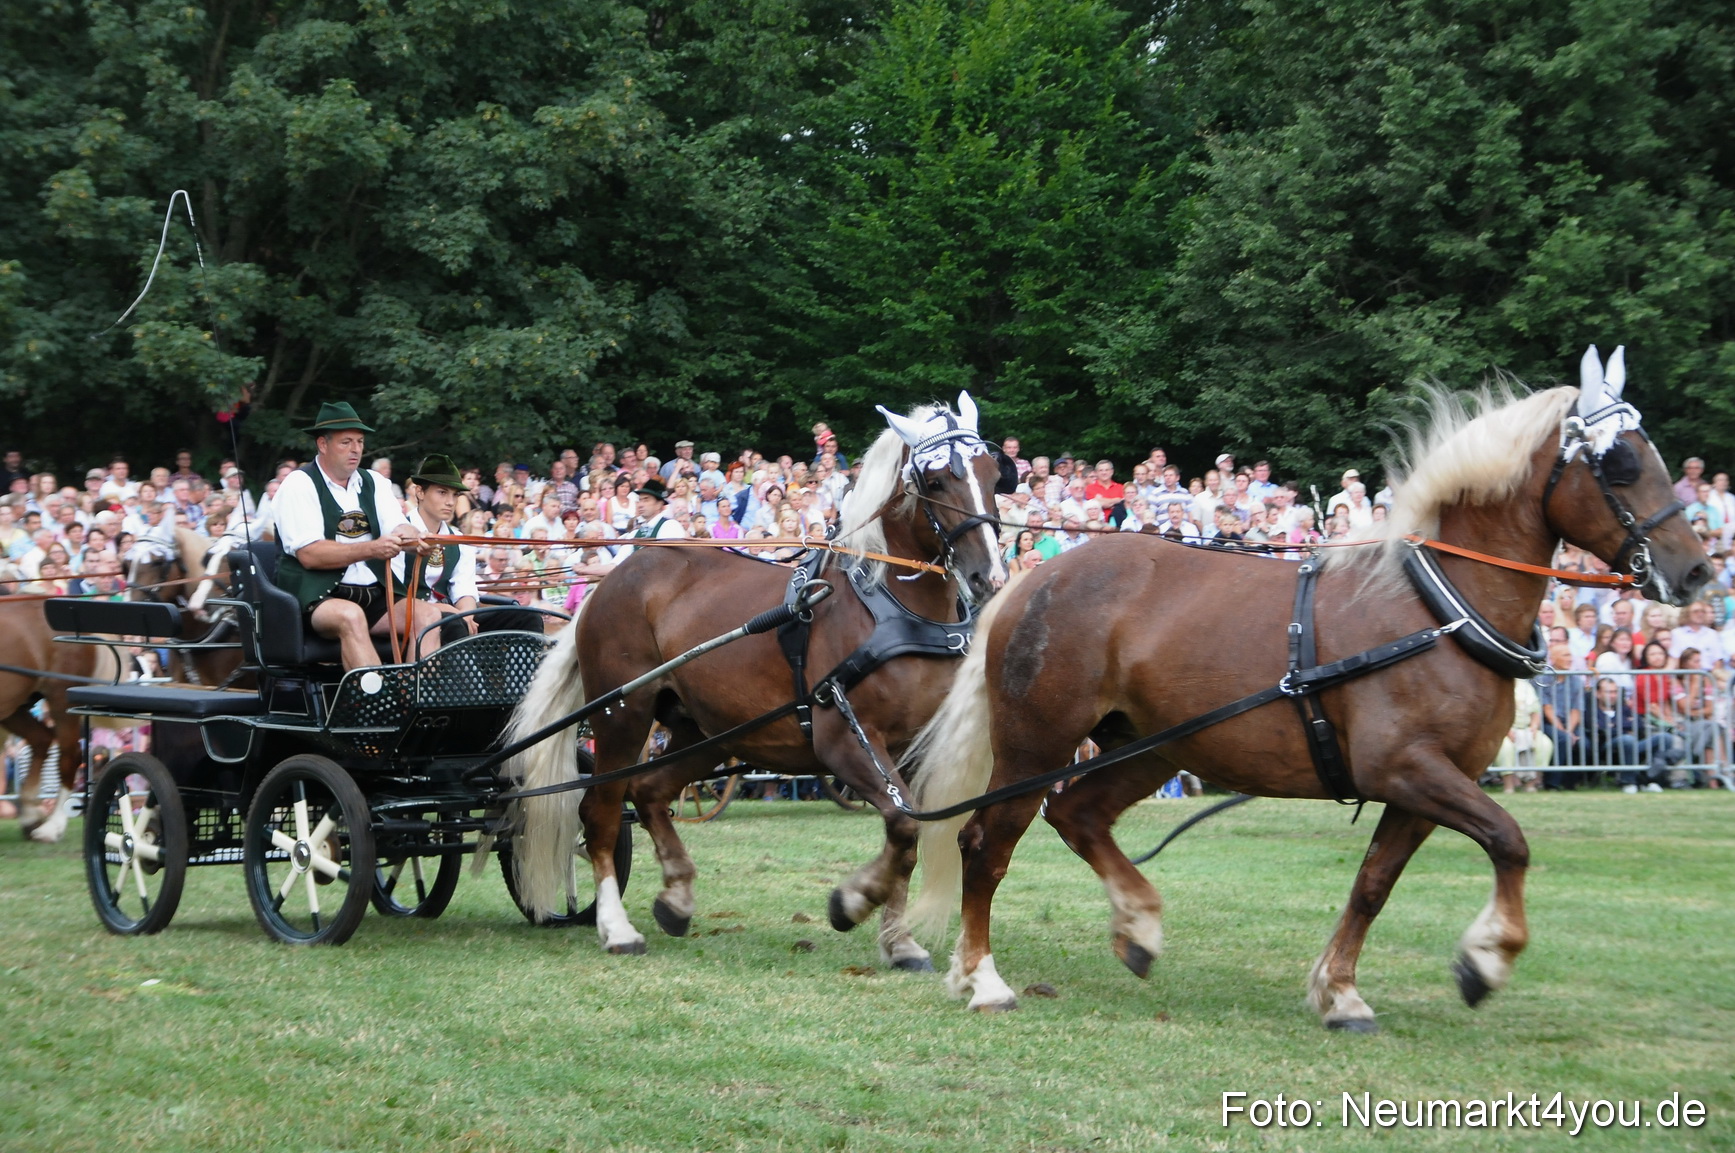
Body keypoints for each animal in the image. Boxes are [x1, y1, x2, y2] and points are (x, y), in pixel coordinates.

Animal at [503, 395, 1008, 963]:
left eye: (994, 474)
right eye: (937, 480)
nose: (989, 577)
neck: (888, 607)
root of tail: (609, 582)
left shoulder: (913, 750)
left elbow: (908, 835)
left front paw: (898, 942)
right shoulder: (842, 739)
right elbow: (902, 827)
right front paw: (852, 902)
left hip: (708, 731)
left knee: (650, 790)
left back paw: (677, 896)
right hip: (622, 715)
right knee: (600, 811)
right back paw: (616, 927)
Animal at [905, 353, 1711, 1028]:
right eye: (1622, 463)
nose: (1698, 571)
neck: (1438, 610)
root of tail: (1030, 580)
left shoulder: (1424, 784)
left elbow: (1374, 885)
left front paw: (1340, 991)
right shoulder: (1406, 768)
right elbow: (1509, 841)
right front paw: (1485, 959)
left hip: (1150, 746)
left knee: (1078, 815)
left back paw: (1137, 925)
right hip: (1036, 745)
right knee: (986, 843)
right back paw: (981, 977)